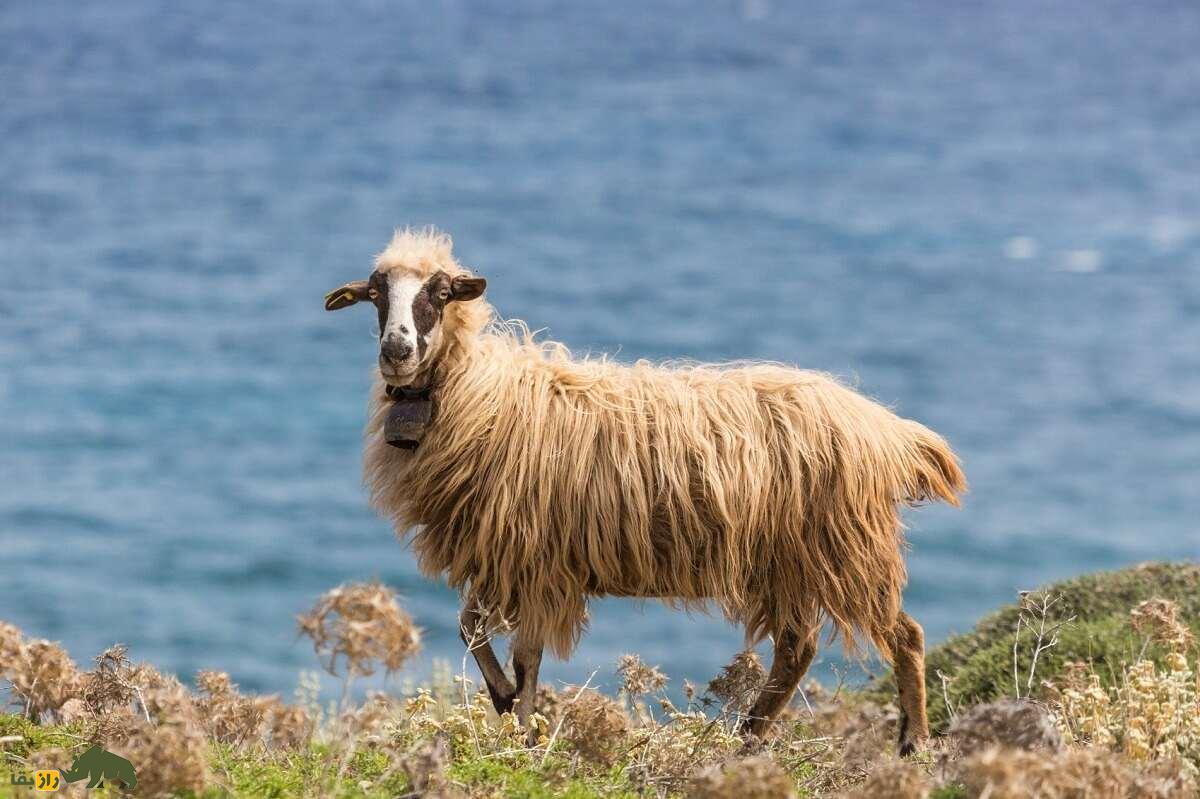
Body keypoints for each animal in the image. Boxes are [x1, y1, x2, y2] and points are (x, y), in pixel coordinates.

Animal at [326, 226, 964, 748]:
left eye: (439, 294)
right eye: (376, 294)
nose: (397, 350)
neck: (480, 396)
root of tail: (887, 431)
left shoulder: (534, 561)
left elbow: (525, 655)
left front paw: (525, 736)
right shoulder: (503, 557)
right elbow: (471, 630)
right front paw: (507, 707)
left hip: (847, 548)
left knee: (904, 636)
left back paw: (912, 745)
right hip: (792, 557)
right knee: (796, 648)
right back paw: (748, 739)